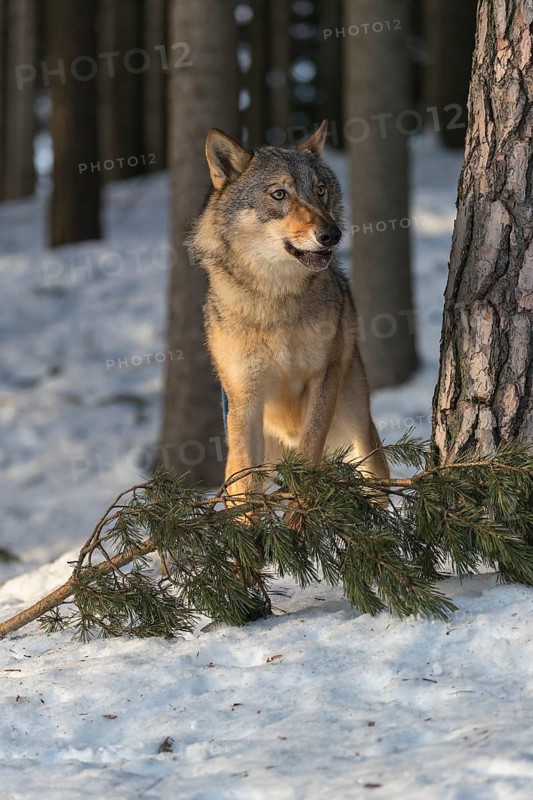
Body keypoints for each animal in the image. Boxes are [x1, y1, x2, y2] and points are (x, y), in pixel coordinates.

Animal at [188, 120, 389, 495]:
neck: (276, 299)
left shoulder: (322, 378)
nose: (332, 234)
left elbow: (309, 454)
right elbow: (246, 485)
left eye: (320, 190)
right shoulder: (245, 399)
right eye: (279, 194)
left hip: (363, 441)